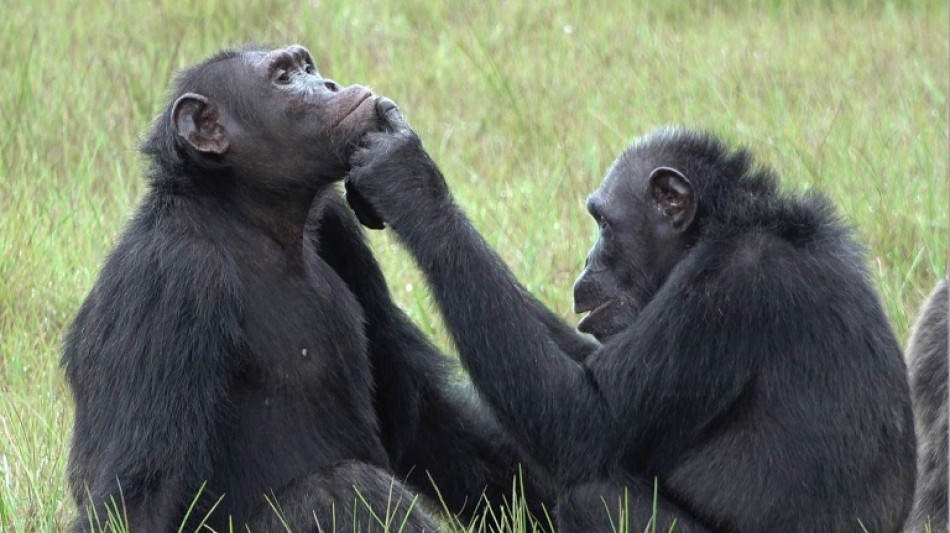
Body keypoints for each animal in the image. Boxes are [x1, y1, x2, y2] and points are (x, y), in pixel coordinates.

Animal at [63, 45, 556, 532]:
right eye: (283, 79)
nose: (328, 85)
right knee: (342, 489)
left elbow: (420, 417)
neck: (247, 216)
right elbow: (144, 491)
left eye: (306, 67)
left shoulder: (339, 229)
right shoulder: (173, 278)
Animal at [348, 102, 924, 528]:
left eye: (603, 222)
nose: (586, 259)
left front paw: (408, 180)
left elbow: (586, 419)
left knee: (593, 493)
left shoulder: (729, 291)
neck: (721, 226)